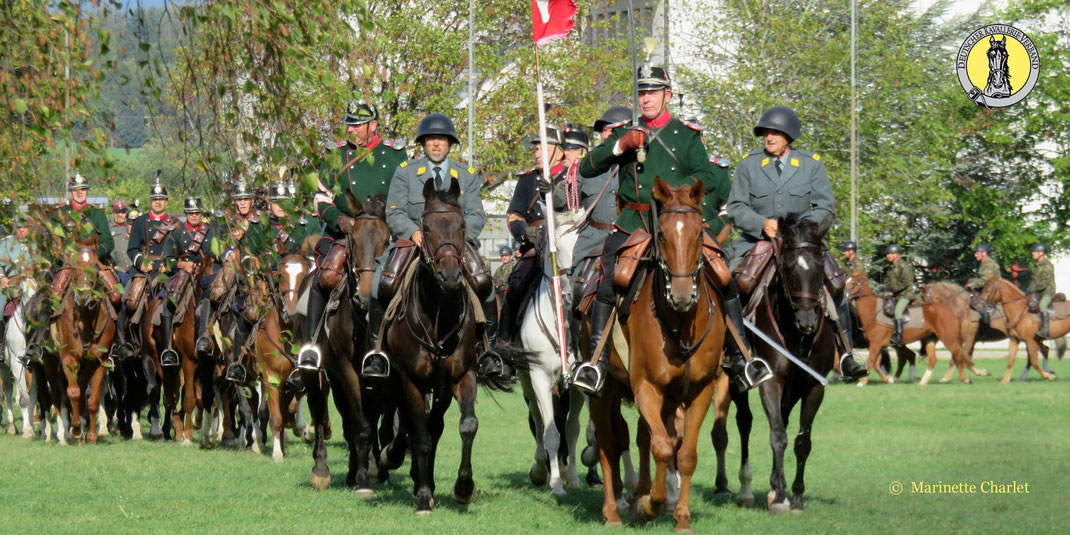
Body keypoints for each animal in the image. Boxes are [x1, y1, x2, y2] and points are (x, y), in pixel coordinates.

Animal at [301, 191, 393, 492]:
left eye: (387, 240)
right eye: (353, 241)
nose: (363, 297)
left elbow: (379, 424)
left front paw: (377, 468)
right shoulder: (347, 370)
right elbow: (361, 425)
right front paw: (364, 480)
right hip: (321, 373)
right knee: (321, 409)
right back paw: (322, 470)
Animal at [586, 178, 727, 530]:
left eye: (699, 234)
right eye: (661, 234)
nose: (681, 295)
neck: (681, 324)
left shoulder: (700, 391)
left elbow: (684, 453)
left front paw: (681, 518)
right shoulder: (645, 388)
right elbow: (662, 447)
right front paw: (648, 505)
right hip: (603, 391)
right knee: (608, 443)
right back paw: (613, 511)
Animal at [843, 276, 984, 385]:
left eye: (853, 283)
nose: (844, 295)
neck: (874, 312)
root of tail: (948, 310)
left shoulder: (876, 344)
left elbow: (871, 362)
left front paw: (862, 382)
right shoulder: (878, 345)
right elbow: (876, 365)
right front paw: (888, 380)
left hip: (948, 339)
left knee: (958, 355)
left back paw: (964, 379)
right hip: (930, 339)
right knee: (933, 359)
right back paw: (923, 381)